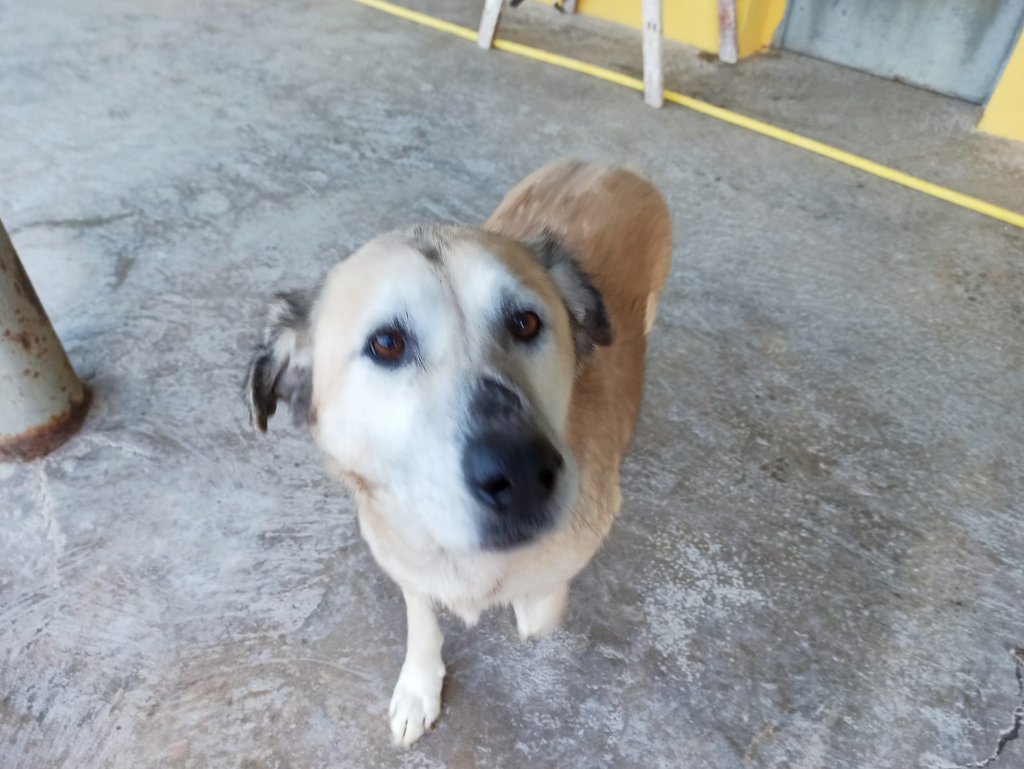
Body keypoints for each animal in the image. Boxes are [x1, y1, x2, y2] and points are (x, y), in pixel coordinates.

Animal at [244, 160, 671, 746]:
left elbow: (539, 608)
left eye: (526, 322)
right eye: (387, 344)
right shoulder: (404, 560)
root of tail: (608, 164)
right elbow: (422, 619)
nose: (523, 473)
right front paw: (419, 686)